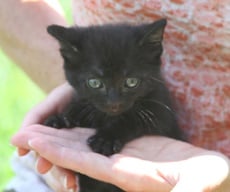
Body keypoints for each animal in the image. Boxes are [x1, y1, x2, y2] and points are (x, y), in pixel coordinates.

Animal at [45, 18, 181, 192]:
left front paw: (106, 139)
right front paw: (61, 119)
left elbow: (132, 119)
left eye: (131, 82)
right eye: (95, 83)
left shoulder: (161, 114)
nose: (114, 103)